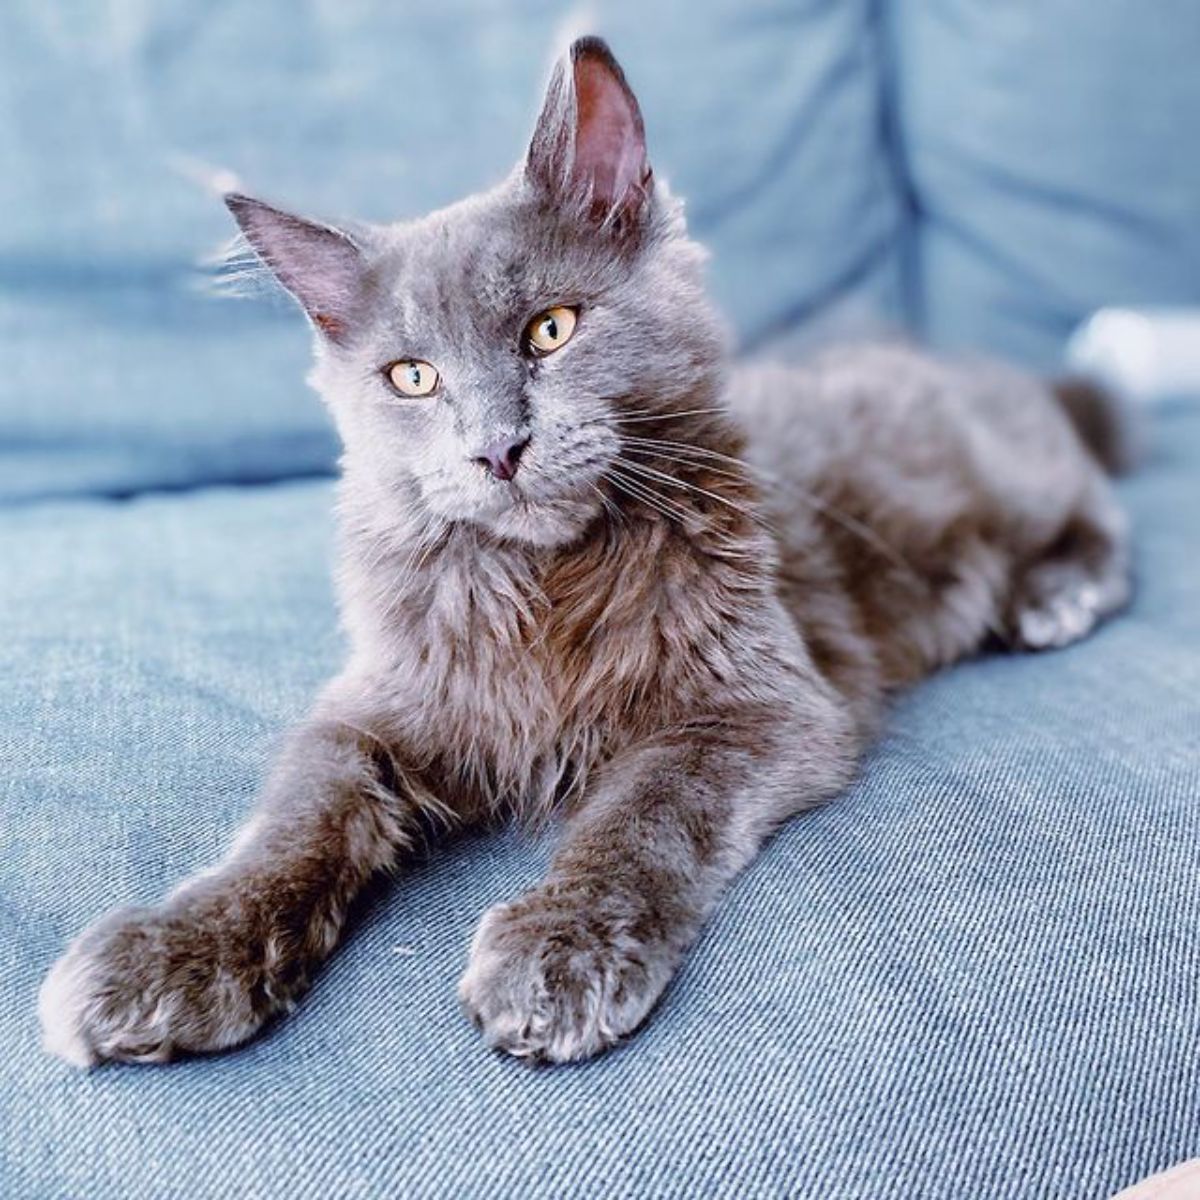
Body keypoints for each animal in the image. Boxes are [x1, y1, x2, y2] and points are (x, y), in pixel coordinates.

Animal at [35, 39, 1123, 1070]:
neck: (547, 581)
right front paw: (178, 947)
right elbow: (296, 821)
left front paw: (564, 945)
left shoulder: (759, 704)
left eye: (551, 330)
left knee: (1098, 498)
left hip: (1011, 472)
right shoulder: (371, 710)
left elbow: (641, 811)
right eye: (413, 377)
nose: (497, 447)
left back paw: (1057, 592)